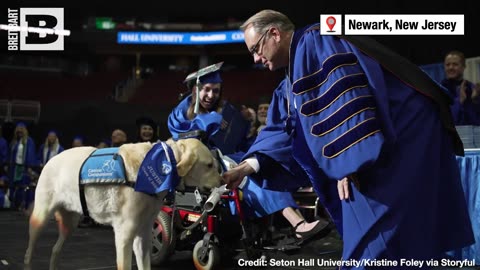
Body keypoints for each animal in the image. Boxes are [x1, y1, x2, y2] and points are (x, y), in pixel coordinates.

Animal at [23, 139, 222, 270]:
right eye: (209, 165)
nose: (223, 181)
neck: (162, 164)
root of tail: (52, 158)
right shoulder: (124, 235)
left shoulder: (143, 235)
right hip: (40, 219)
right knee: (28, 253)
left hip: (69, 224)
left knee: (55, 250)